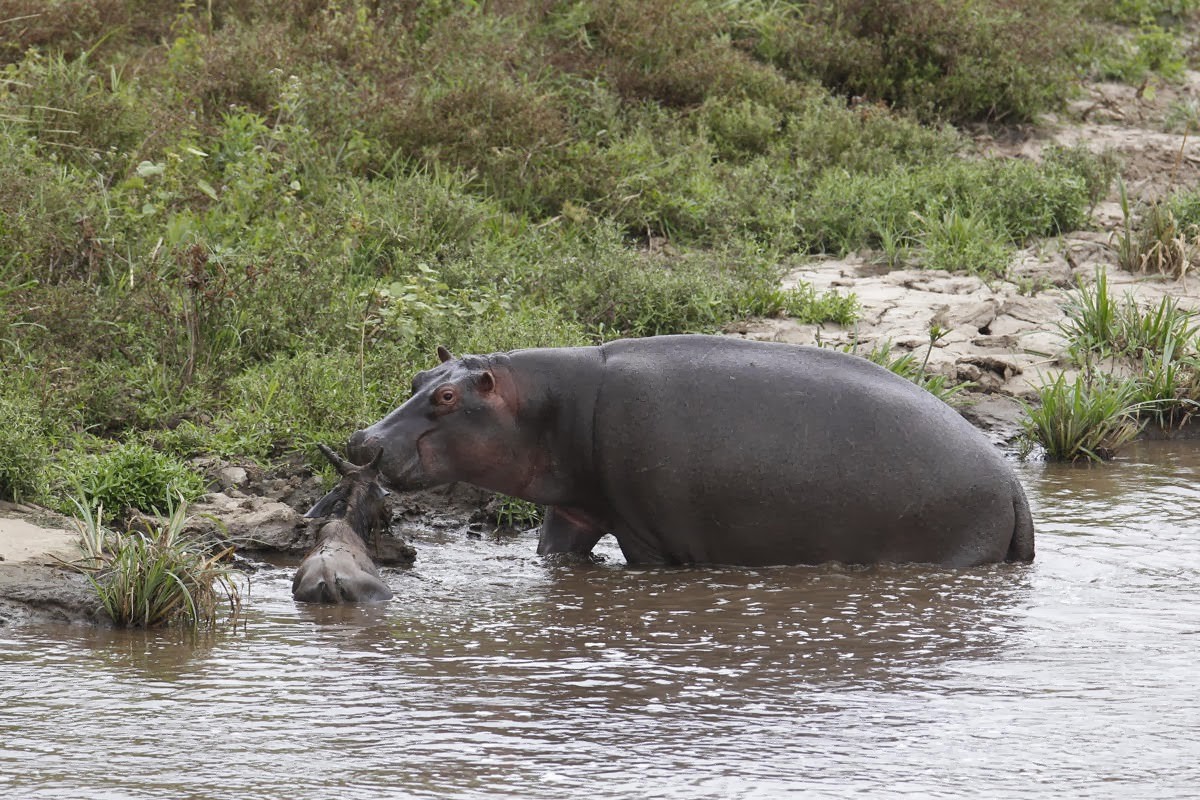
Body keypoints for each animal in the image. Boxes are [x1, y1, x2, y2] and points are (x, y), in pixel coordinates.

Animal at [345, 335, 1032, 566]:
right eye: (418, 379)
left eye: (448, 397)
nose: (362, 440)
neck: (544, 406)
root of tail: (1012, 483)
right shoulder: (574, 511)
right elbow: (557, 555)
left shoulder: (647, 534)